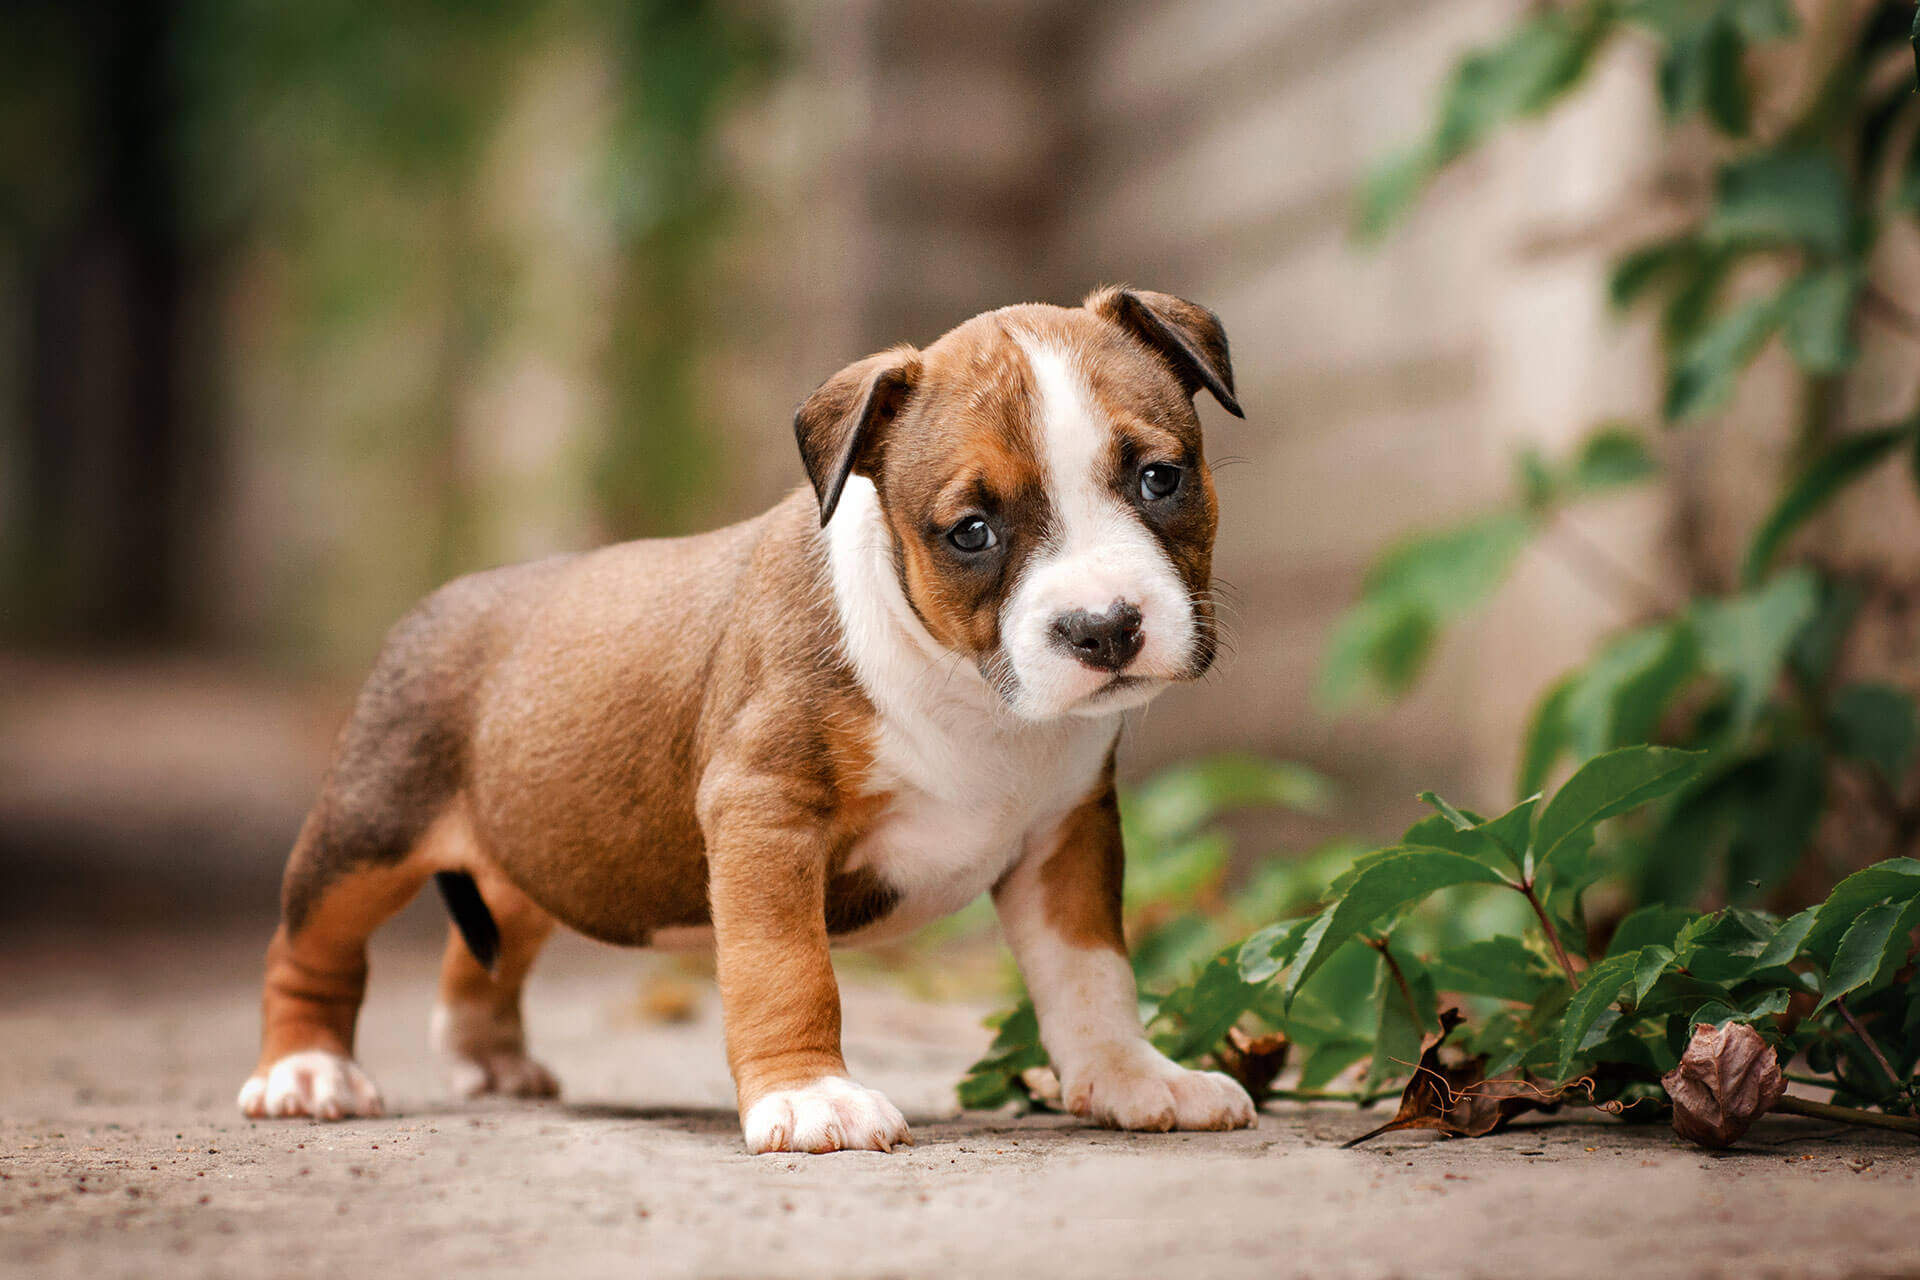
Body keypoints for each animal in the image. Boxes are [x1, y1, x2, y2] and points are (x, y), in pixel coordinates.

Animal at [240, 287, 1259, 1151]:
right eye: (971, 531)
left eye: (1159, 479)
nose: (1104, 627)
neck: (969, 690)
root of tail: (442, 601)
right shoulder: (766, 813)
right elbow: (787, 968)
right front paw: (809, 1095)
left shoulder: (1066, 836)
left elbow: (1093, 974)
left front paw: (1136, 1077)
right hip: (366, 833)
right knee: (308, 946)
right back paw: (305, 1072)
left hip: (539, 846)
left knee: (488, 944)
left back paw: (485, 1056)